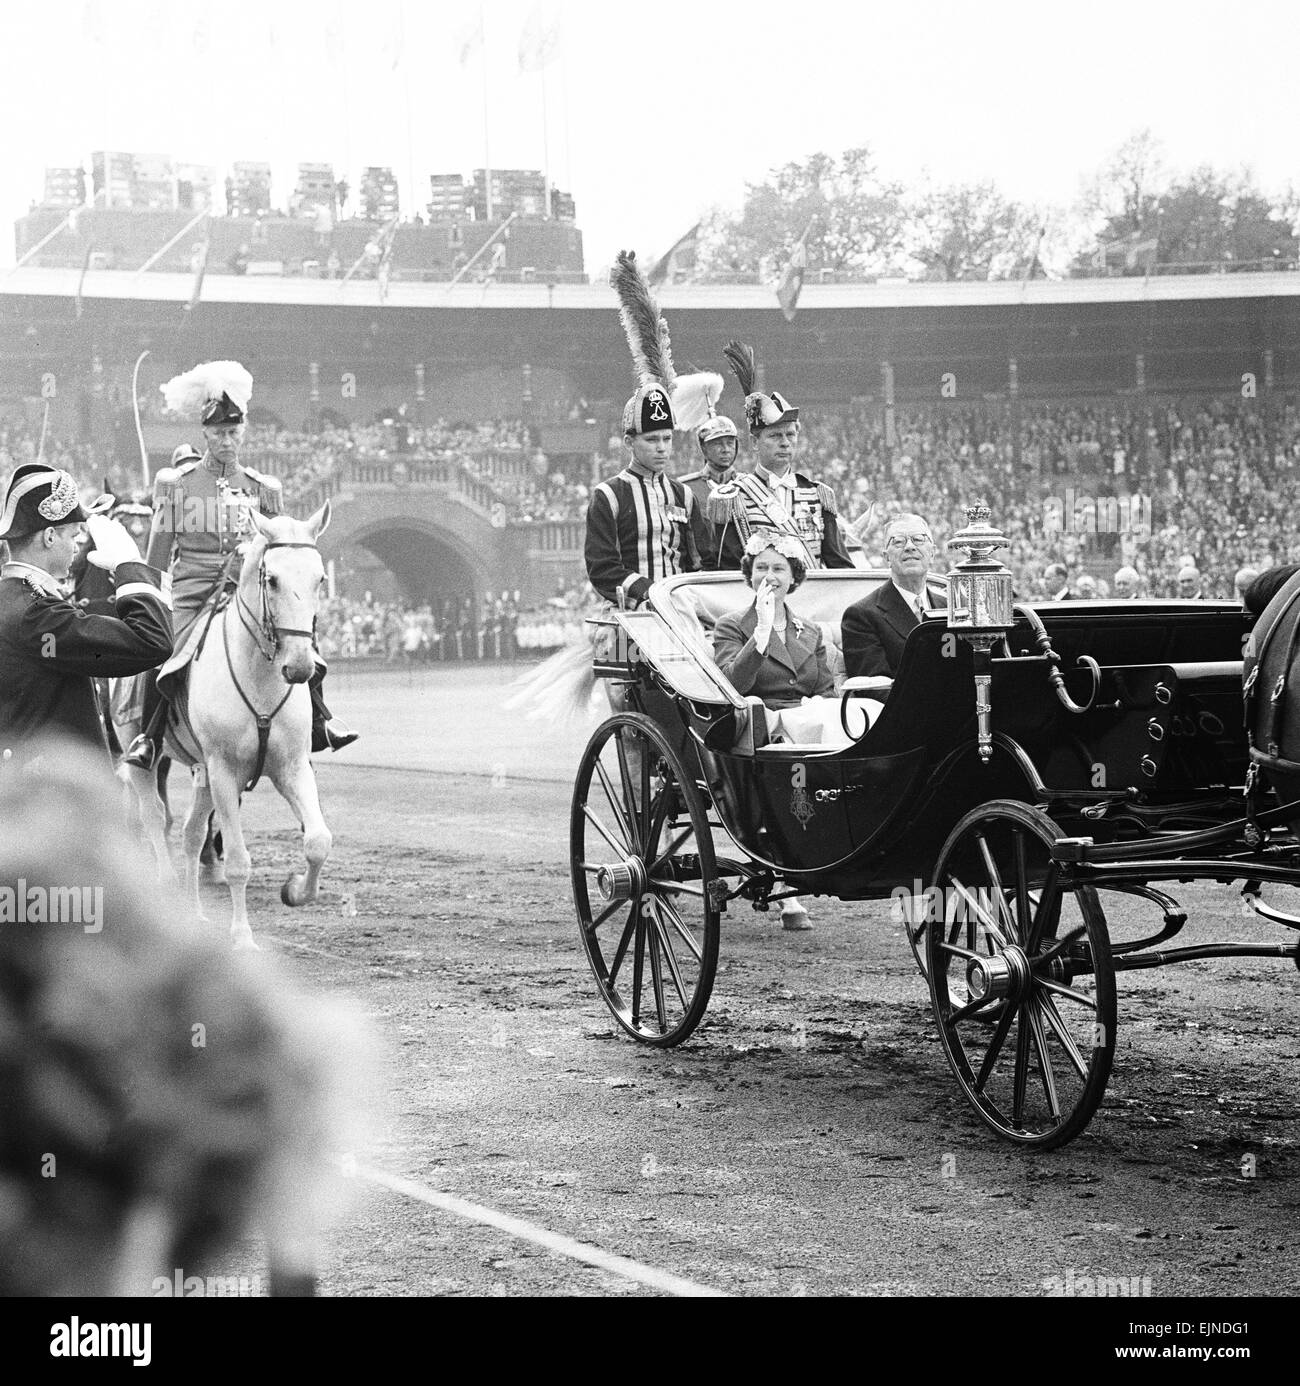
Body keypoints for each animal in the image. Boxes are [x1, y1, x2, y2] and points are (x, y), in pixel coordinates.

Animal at [125, 504, 334, 948]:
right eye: (272, 579)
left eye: (320, 579)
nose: (300, 667)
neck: (260, 677)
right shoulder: (225, 771)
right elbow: (238, 860)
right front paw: (241, 938)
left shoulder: (291, 767)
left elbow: (317, 840)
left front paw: (296, 891)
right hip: (142, 755)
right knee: (153, 816)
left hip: (202, 772)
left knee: (191, 834)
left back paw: (194, 913)